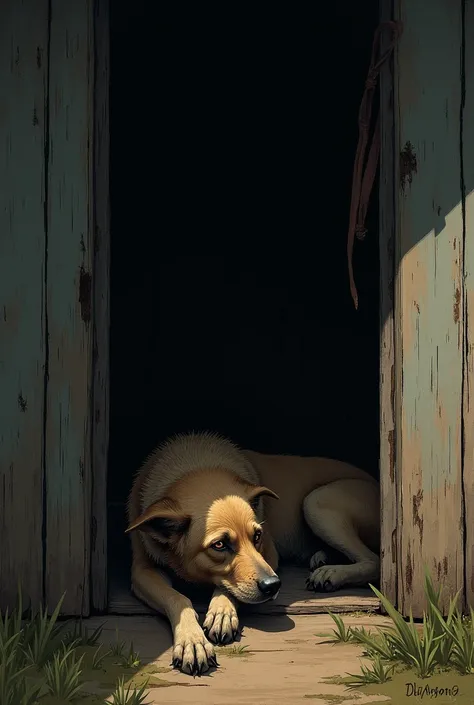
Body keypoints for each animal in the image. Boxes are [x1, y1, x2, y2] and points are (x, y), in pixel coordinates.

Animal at [125, 432, 378, 672]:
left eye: (257, 536)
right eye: (219, 545)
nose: (273, 585)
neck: (195, 464)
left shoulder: (269, 555)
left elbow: (228, 587)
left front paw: (222, 612)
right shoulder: (142, 572)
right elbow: (177, 597)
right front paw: (192, 641)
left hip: (316, 501)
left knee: (373, 560)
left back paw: (332, 573)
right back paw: (323, 559)